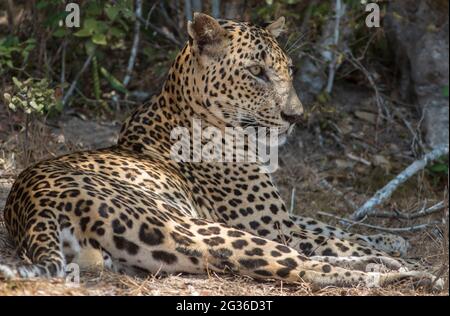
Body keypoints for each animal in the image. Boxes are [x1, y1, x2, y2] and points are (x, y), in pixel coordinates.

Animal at [0, 12, 442, 292]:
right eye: (256, 72)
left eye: (289, 70)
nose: (296, 116)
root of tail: (28, 205)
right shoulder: (272, 225)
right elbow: (333, 240)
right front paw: (388, 251)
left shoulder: (283, 217)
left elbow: (332, 228)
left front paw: (388, 242)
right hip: (190, 227)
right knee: (307, 268)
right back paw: (410, 276)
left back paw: (390, 263)